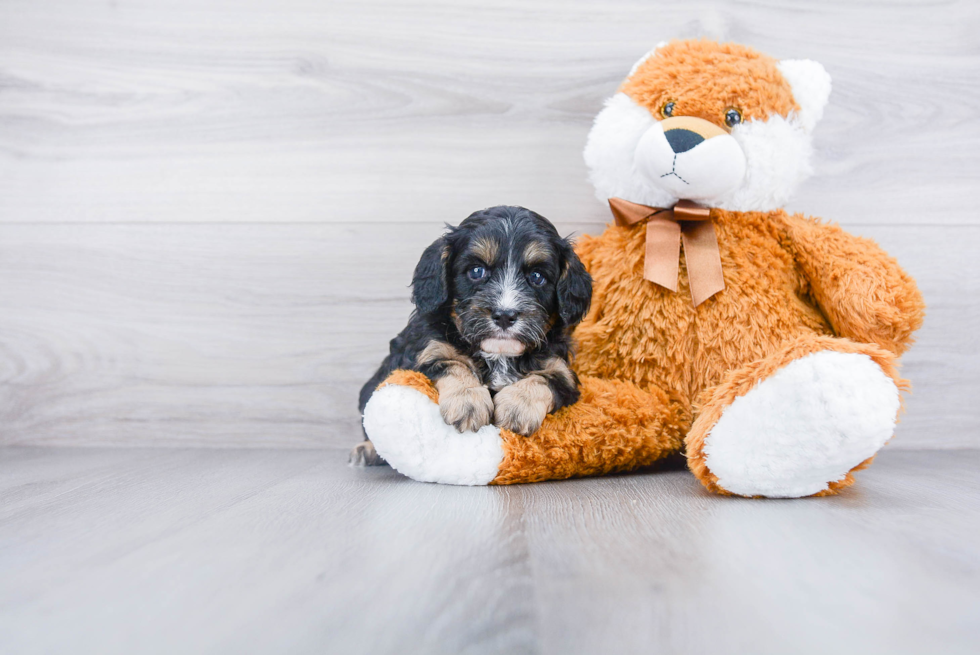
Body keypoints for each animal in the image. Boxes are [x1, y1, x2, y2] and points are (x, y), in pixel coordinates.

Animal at [354, 205, 596, 466]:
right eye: (476, 271)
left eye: (537, 277)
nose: (505, 315)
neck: (498, 355)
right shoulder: (424, 352)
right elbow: (452, 363)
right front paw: (467, 402)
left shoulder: (561, 369)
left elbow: (546, 379)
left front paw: (518, 406)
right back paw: (367, 450)